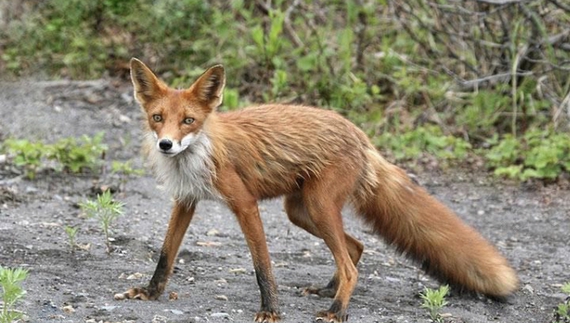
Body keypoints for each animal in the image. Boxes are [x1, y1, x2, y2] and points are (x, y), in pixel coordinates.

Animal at [113, 58, 516, 323]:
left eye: (189, 121)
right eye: (157, 118)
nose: (166, 145)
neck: (200, 153)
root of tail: (361, 135)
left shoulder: (244, 204)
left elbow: (262, 266)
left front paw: (270, 311)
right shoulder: (186, 200)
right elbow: (165, 255)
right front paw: (150, 293)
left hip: (319, 207)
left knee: (350, 264)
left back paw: (337, 310)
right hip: (302, 211)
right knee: (355, 248)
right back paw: (328, 290)